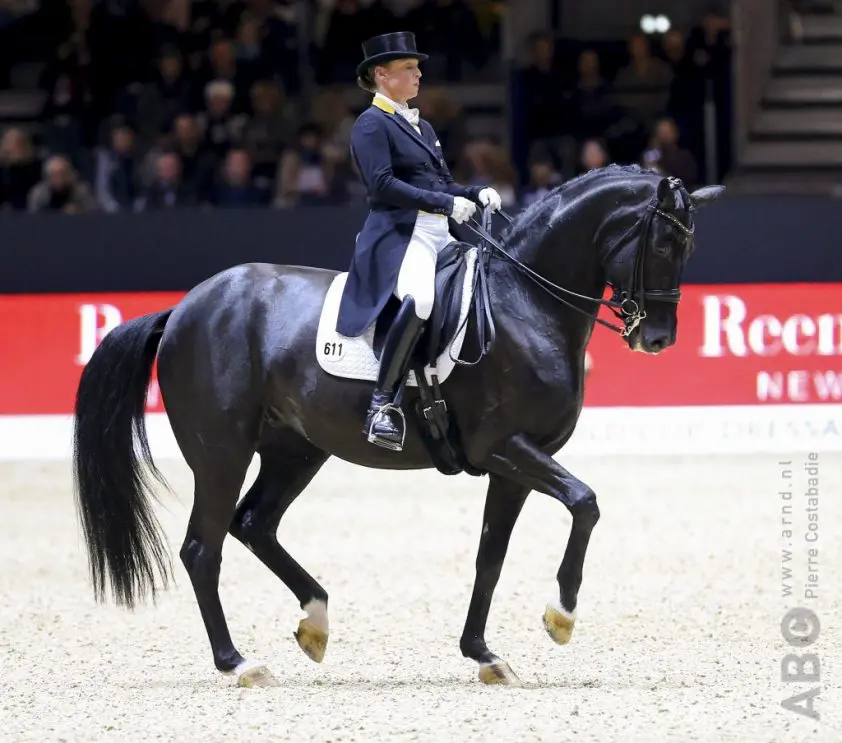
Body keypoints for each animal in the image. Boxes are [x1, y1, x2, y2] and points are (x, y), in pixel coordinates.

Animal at [72, 164, 724, 688]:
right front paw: (560, 616)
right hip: (221, 453)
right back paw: (239, 663)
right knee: (202, 548)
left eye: (689, 248)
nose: (656, 338)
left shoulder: (513, 464)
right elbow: (585, 502)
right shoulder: (506, 448)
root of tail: (185, 307)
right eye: (664, 242)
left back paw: (315, 621)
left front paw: (484, 654)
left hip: (296, 450)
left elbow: (491, 555)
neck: (525, 301)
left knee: (254, 524)